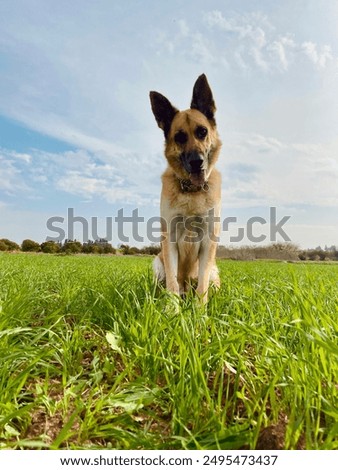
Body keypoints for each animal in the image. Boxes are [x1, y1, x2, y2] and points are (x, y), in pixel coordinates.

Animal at [151, 73, 222, 302]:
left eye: (202, 132)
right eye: (180, 137)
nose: (196, 162)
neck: (192, 191)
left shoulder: (208, 242)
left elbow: (202, 286)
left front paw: (200, 309)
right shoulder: (170, 241)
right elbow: (172, 284)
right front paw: (171, 308)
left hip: (214, 271)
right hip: (157, 263)